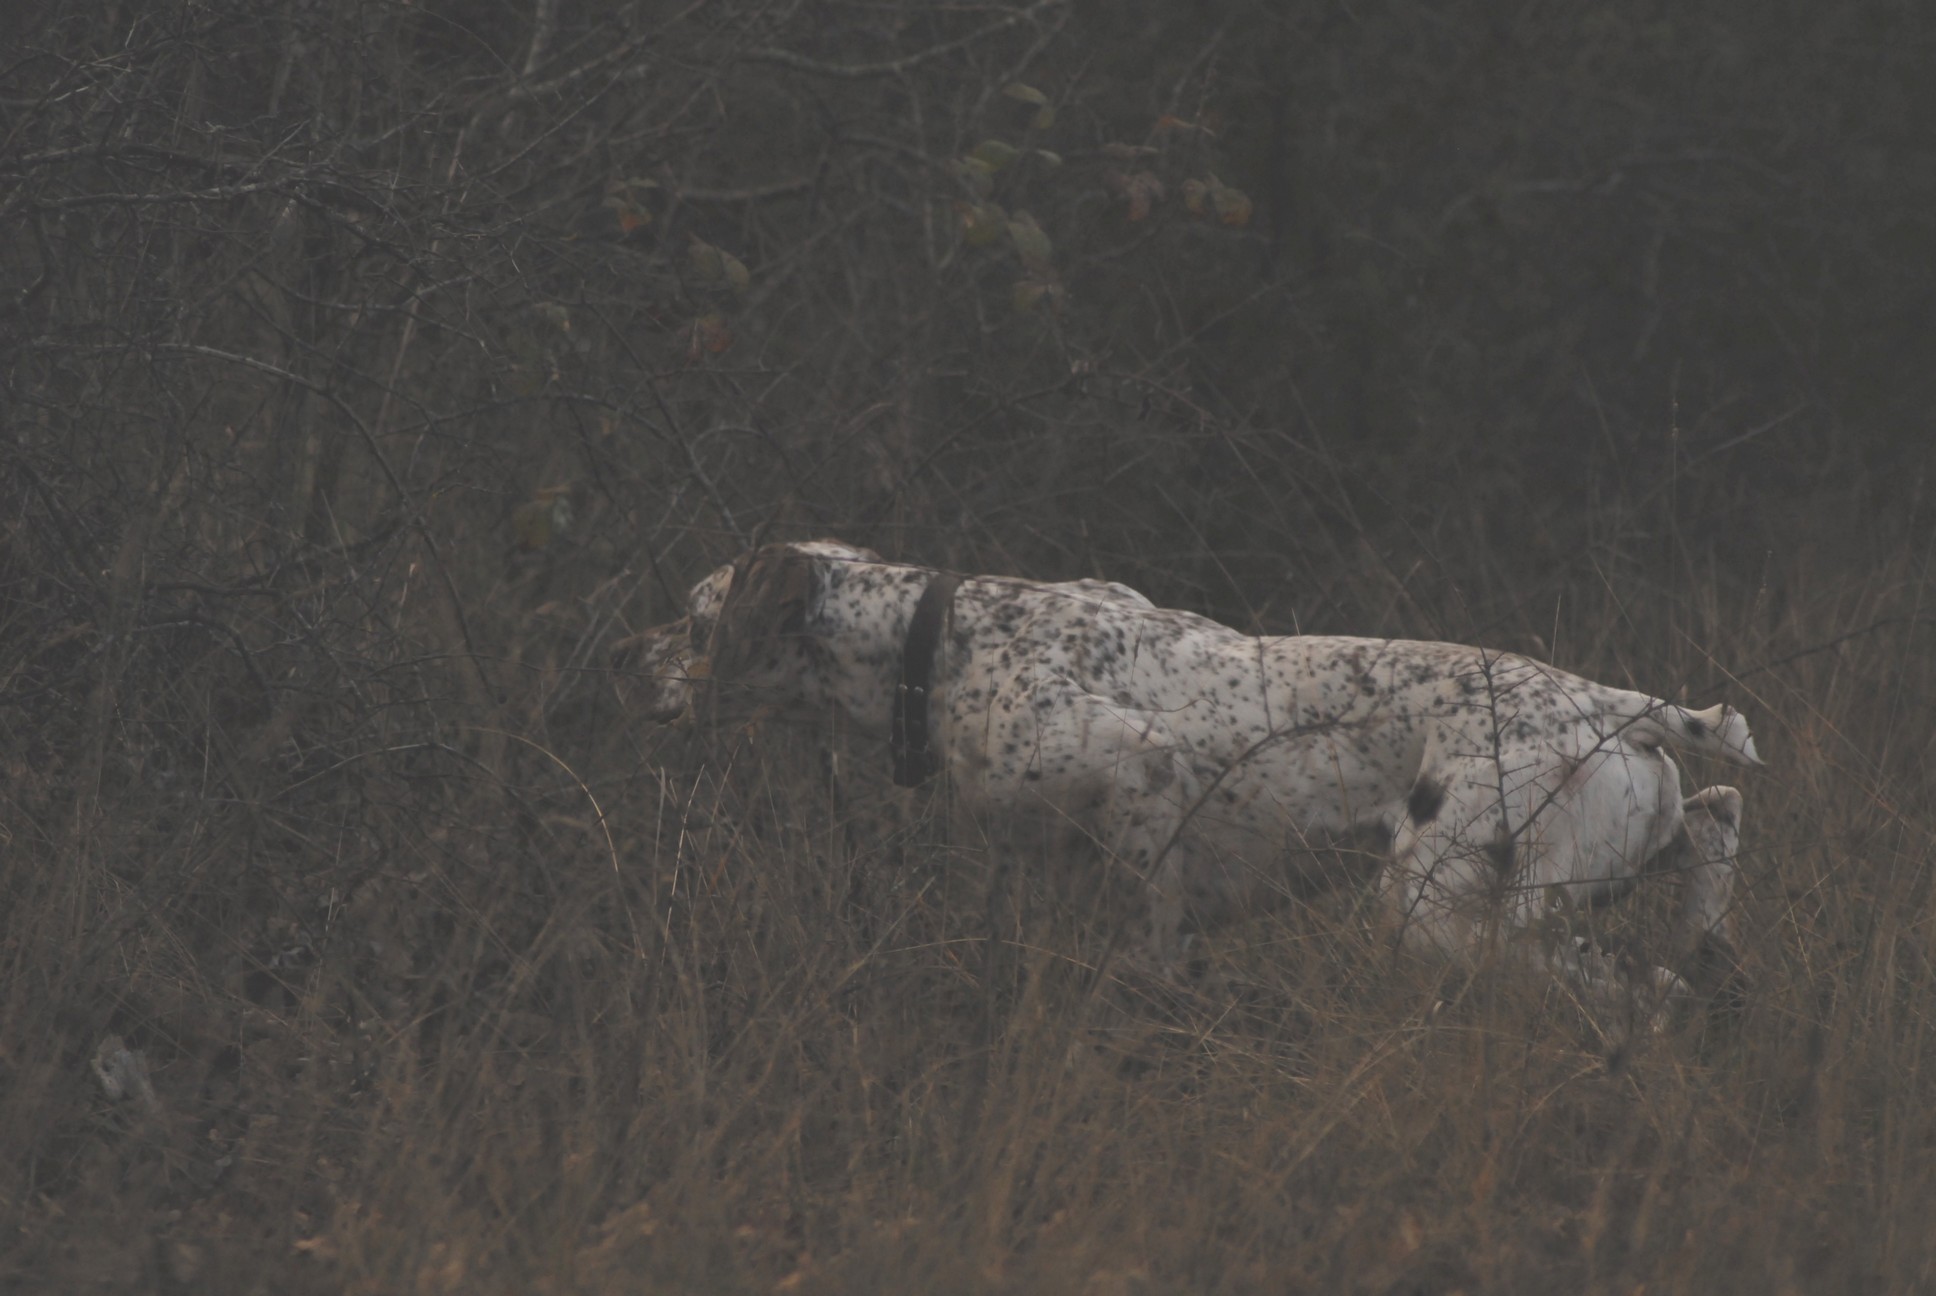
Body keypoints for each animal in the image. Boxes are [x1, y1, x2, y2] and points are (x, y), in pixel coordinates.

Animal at [627, 538, 1765, 1022]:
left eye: (692, 618)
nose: (624, 658)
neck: (943, 646)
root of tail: (1610, 703)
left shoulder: (1140, 766)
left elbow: (1155, 935)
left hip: (1437, 906)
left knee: (1612, 974)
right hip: (1623, 838)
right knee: (1712, 833)